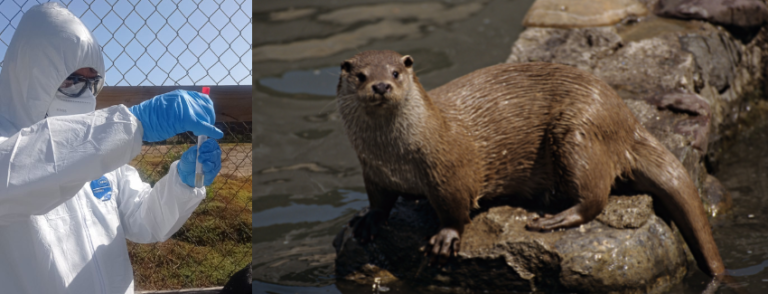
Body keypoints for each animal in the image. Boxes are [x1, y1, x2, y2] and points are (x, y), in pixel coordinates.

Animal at [338, 49, 728, 276]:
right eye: (360, 75)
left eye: (395, 72)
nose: (381, 86)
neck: (395, 155)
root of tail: (627, 118)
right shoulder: (372, 170)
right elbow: (379, 201)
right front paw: (368, 220)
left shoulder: (448, 171)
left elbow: (455, 208)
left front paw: (445, 238)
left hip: (578, 132)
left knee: (596, 196)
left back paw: (553, 219)